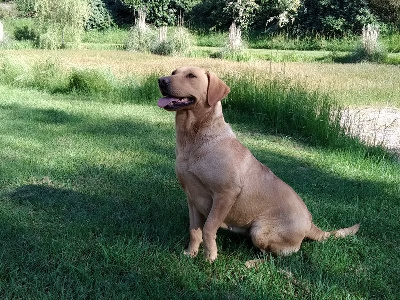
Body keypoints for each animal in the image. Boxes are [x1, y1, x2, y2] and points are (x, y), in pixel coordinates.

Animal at [156, 67, 360, 262]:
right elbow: (194, 230)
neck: (195, 140)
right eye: (174, 72)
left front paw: (209, 257)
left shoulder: (225, 195)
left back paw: (251, 263)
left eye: (191, 75)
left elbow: (208, 229)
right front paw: (190, 253)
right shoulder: (191, 197)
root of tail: (311, 224)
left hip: (259, 230)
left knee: (275, 257)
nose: (161, 80)